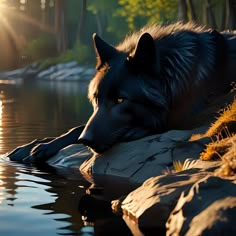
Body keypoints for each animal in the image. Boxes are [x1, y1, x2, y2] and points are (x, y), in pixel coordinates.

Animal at [7, 22, 236, 162]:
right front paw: (39, 145)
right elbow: (76, 127)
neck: (177, 74)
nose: (85, 141)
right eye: (96, 99)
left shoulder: (189, 115)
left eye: (120, 100)